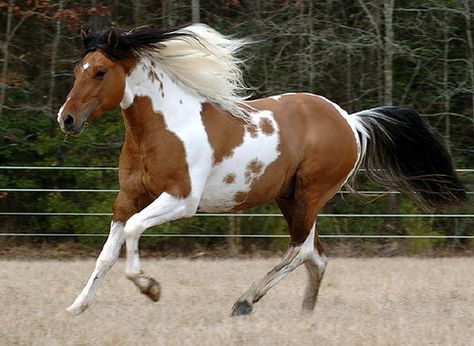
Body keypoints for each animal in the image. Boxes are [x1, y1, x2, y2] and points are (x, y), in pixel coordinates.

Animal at [56, 23, 466, 316]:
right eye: (78, 68)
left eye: (100, 72)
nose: (67, 119)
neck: (163, 126)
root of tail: (350, 121)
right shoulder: (127, 197)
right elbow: (108, 252)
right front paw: (76, 307)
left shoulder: (181, 200)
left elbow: (134, 231)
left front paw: (150, 288)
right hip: (289, 198)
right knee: (316, 255)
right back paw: (304, 314)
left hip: (310, 195)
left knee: (301, 250)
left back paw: (244, 301)